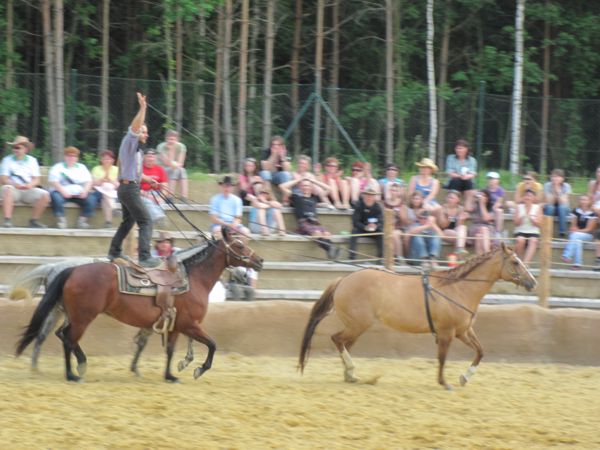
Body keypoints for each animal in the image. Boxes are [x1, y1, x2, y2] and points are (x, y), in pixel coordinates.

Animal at [15, 229, 262, 384]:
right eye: (239, 245)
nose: (259, 261)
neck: (193, 280)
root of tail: (71, 269)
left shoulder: (175, 327)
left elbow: (170, 350)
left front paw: (170, 375)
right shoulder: (189, 325)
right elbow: (212, 344)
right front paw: (199, 369)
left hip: (72, 315)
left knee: (61, 336)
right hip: (82, 317)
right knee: (67, 338)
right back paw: (73, 373)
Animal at [298, 244, 536, 388]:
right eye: (515, 262)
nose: (532, 282)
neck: (457, 289)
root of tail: (343, 280)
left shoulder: (463, 331)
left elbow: (480, 351)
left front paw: (463, 378)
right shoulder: (447, 332)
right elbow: (442, 357)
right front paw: (444, 382)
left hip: (356, 327)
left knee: (344, 344)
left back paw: (350, 374)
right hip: (358, 325)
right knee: (337, 340)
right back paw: (351, 371)